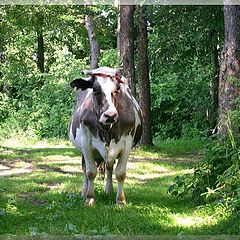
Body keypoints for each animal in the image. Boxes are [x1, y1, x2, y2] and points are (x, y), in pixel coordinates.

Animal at [68, 66, 142, 205]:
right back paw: (84, 192)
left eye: (117, 89)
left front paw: (120, 200)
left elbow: (120, 173)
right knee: (85, 169)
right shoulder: (86, 143)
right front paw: (90, 198)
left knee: (109, 167)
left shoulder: (127, 142)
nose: (110, 115)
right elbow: (90, 172)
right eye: (95, 89)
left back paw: (109, 191)